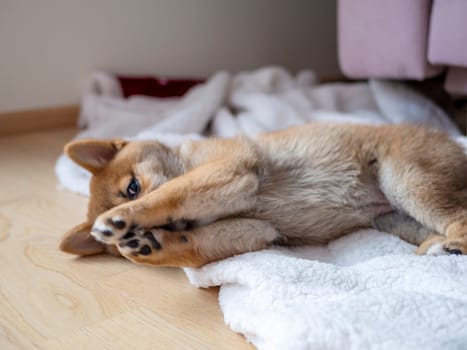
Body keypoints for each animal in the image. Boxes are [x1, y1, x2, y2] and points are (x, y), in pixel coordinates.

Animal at [59, 123, 467, 268]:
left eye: (132, 187)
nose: (133, 233)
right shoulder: (257, 230)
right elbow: (194, 246)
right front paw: (151, 247)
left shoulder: (230, 170)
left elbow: (173, 192)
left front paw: (124, 217)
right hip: (396, 218)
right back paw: (435, 248)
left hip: (407, 180)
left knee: (459, 215)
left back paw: (453, 246)